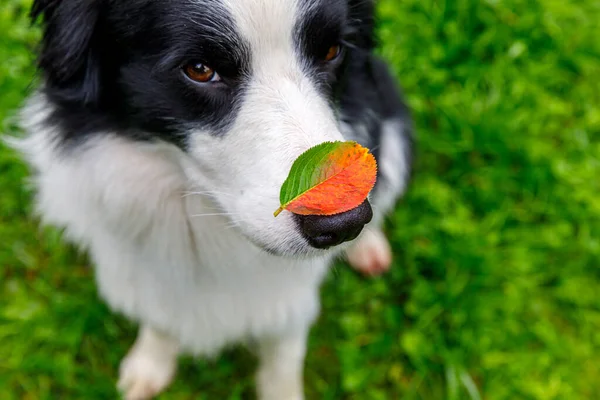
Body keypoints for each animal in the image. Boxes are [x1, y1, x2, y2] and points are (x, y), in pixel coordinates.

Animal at [10, 0, 412, 400]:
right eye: (200, 70)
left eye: (331, 51)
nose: (345, 224)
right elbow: (160, 313)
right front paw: (150, 364)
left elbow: (283, 351)